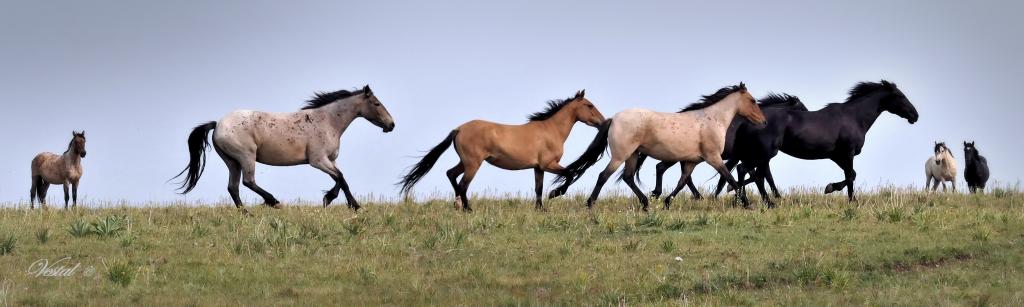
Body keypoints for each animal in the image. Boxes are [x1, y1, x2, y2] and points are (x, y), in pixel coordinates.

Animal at [172, 86, 395, 210]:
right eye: (376, 103)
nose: (391, 125)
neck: (327, 121)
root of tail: (218, 124)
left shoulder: (330, 159)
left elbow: (340, 178)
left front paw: (328, 199)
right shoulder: (317, 160)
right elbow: (341, 178)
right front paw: (354, 206)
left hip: (232, 161)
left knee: (233, 187)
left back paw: (246, 213)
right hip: (246, 156)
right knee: (248, 182)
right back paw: (274, 202)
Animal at [397, 90, 606, 211]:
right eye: (589, 105)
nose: (603, 122)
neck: (550, 130)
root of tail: (459, 129)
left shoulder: (538, 167)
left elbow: (538, 188)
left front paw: (540, 209)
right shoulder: (549, 164)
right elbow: (569, 175)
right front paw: (555, 193)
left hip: (465, 162)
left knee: (451, 174)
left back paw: (457, 204)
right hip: (473, 164)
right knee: (463, 184)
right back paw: (467, 208)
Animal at [638, 92, 806, 207]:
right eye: (803, 110)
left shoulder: (745, 157)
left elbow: (750, 175)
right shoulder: (748, 157)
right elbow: (759, 176)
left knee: (670, 171)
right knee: (663, 168)